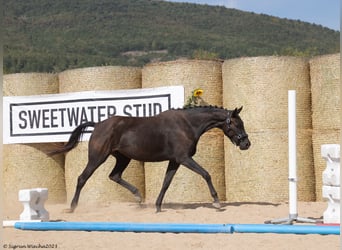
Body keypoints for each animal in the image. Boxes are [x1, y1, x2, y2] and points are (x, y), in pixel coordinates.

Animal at [48, 106, 251, 213]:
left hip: (123, 158)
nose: (246, 144)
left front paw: (158, 206)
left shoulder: (175, 161)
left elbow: (166, 183)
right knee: (82, 178)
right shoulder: (184, 158)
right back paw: (72, 207)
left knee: (114, 176)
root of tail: (98, 124)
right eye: (237, 124)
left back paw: (138, 196)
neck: (187, 125)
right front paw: (216, 202)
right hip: (98, 157)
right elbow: (206, 174)